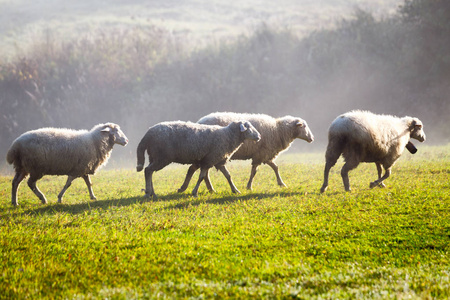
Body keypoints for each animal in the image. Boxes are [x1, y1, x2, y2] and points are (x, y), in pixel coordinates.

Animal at [176, 110, 312, 192]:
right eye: (304, 126)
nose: (312, 138)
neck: (278, 130)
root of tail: (199, 121)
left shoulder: (264, 154)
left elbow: (275, 167)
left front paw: (281, 183)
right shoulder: (261, 154)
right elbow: (255, 172)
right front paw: (249, 186)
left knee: (201, 170)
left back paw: (205, 189)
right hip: (211, 152)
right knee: (196, 169)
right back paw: (189, 188)